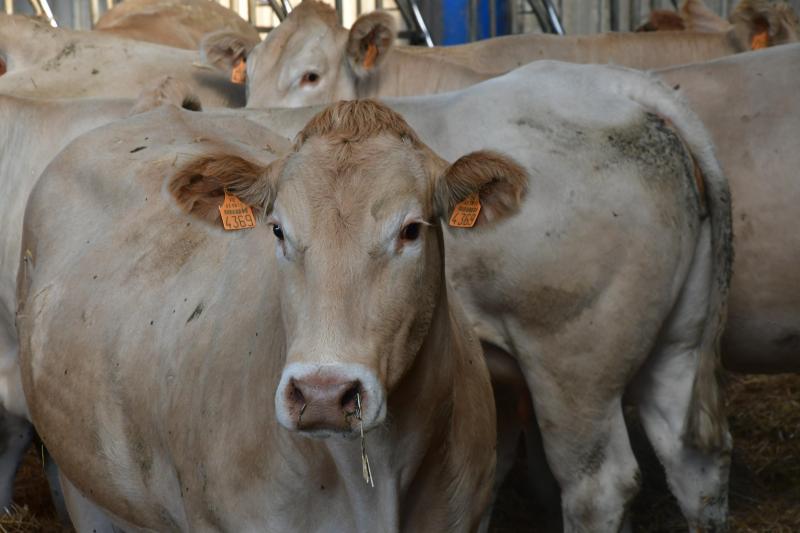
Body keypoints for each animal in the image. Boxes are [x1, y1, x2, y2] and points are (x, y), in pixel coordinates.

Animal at [17, 60, 732, 528]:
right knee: (695, 463)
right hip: (675, 346)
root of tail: (614, 80)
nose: (325, 393)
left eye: (412, 229)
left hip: (573, 367)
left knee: (598, 485)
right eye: (277, 229)